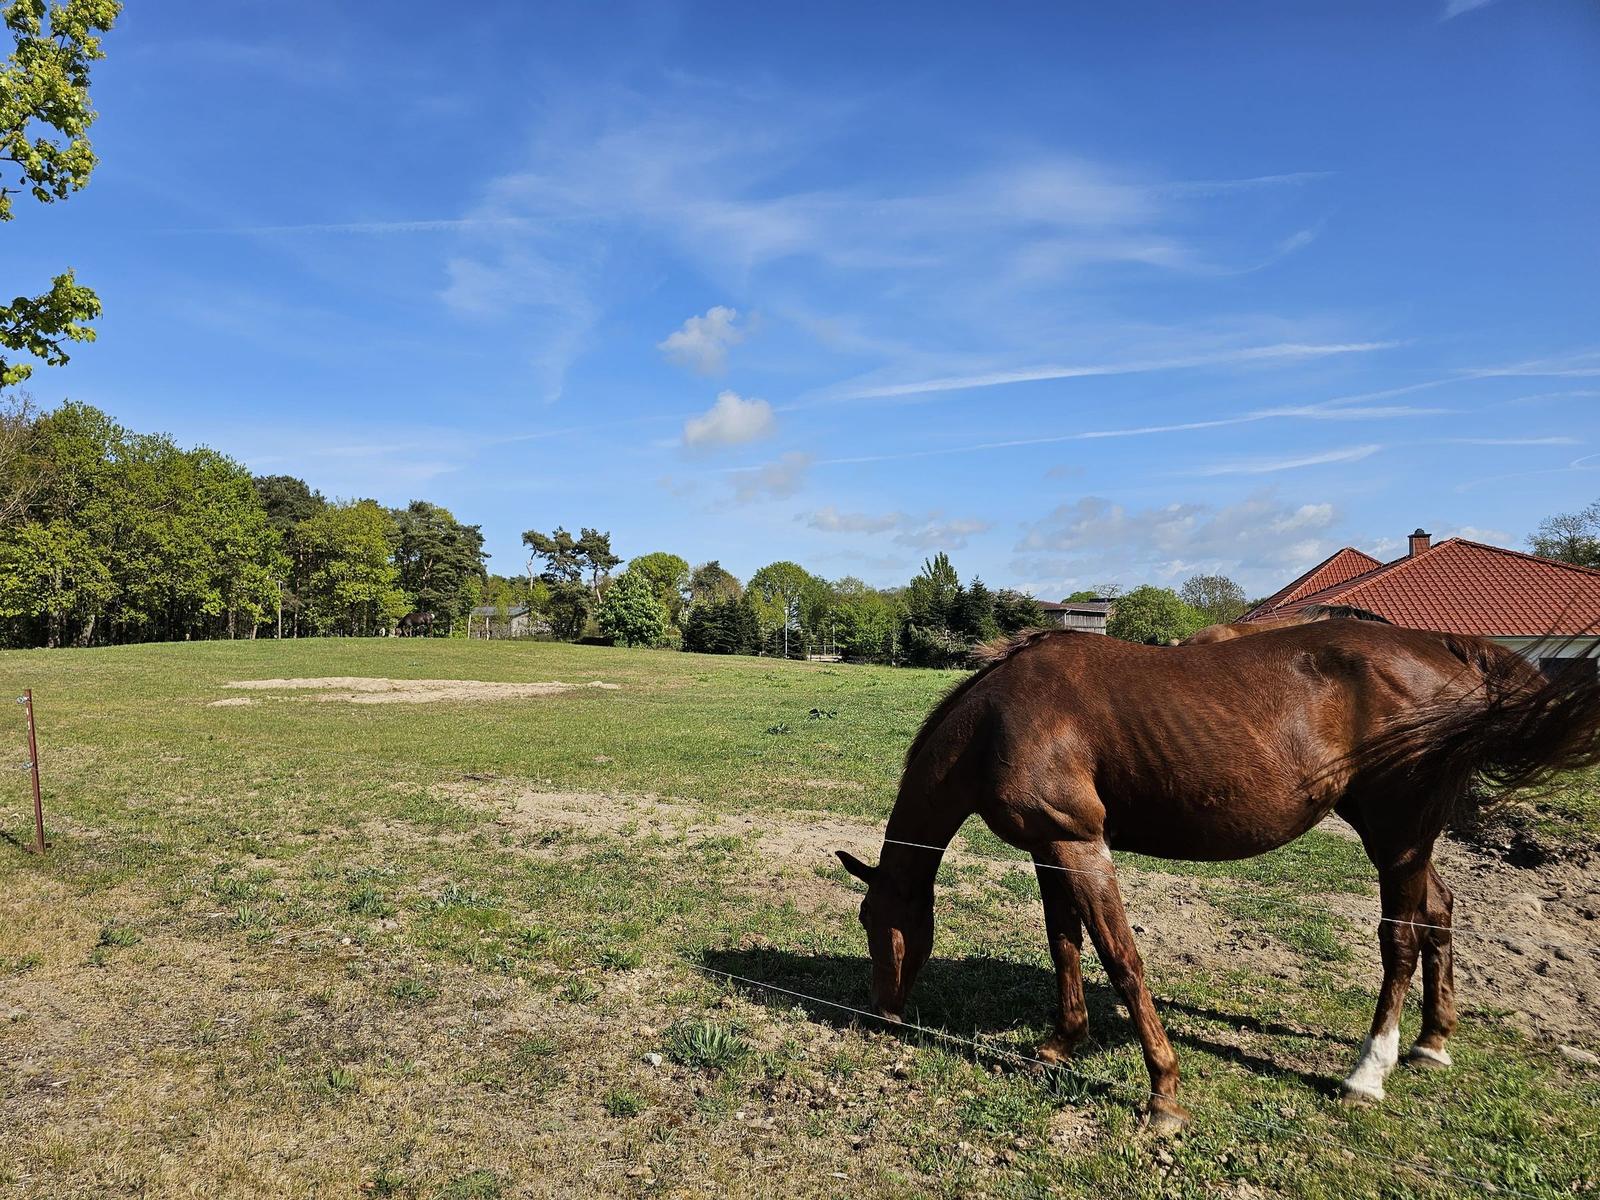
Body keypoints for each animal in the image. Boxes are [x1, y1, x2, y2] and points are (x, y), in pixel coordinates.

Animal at [834, 619, 1600, 1134]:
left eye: (875, 922)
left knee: (1402, 939)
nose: (878, 1013)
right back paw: (1432, 1043)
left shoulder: (1081, 846)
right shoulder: (1050, 849)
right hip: (1401, 838)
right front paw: (1060, 1043)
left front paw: (1164, 1094)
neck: (1001, 719)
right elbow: (1065, 947)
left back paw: (1368, 1072)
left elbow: (1122, 958)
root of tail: (1443, 647)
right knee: (1439, 911)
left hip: (1398, 835)